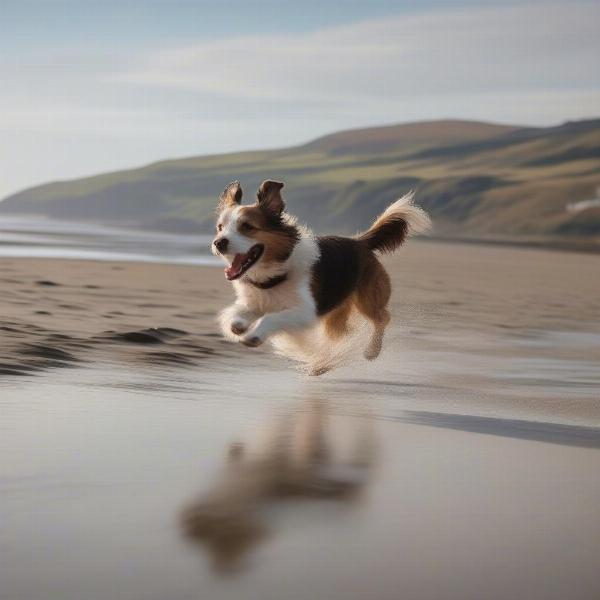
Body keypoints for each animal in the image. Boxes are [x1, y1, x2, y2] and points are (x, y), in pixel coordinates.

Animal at [213, 180, 428, 372]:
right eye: (220, 227)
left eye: (247, 226)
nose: (218, 243)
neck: (275, 273)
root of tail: (361, 242)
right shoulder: (256, 302)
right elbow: (237, 316)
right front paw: (240, 325)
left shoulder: (305, 311)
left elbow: (272, 318)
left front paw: (254, 335)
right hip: (337, 312)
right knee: (342, 334)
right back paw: (323, 365)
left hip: (368, 299)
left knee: (383, 318)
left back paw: (371, 351)